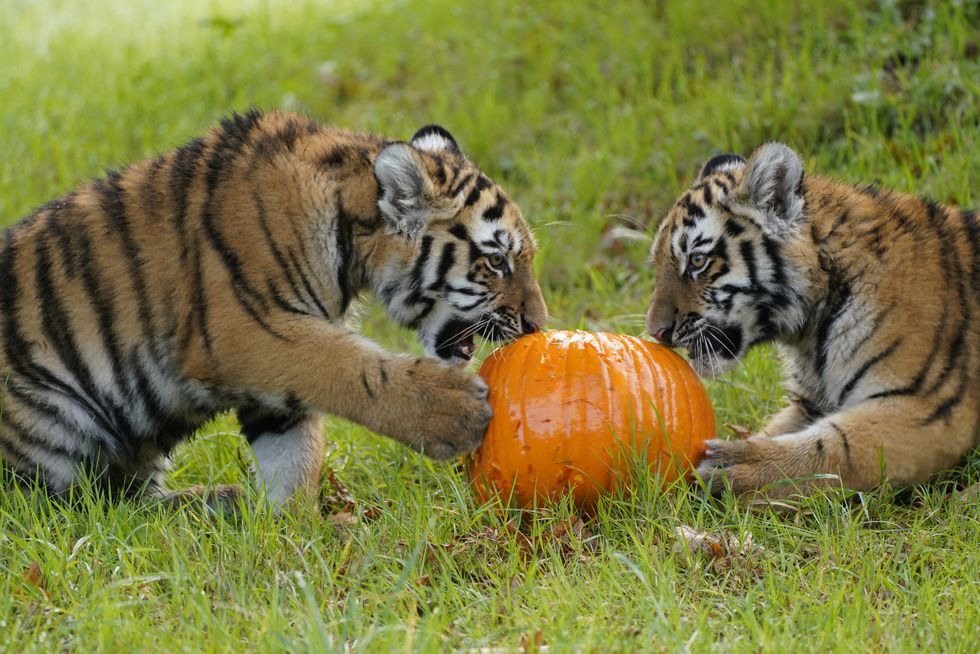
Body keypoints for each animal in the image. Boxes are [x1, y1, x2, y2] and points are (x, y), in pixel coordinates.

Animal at [0, 109, 547, 508]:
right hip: (53, 420)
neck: (348, 231)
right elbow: (347, 368)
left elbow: (293, 451)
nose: (537, 325)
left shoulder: (275, 382)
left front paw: (288, 530)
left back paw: (216, 506)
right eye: (496, 261)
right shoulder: (245, 331)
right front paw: (451, 411)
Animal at [646, 142, 979, 496]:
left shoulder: (929, 408)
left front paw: (736, 467)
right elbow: (774, 431)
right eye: (658, 263)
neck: (809, 331)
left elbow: (834, 447)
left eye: (697, 260)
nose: (656, 331)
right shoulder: (808, 403)